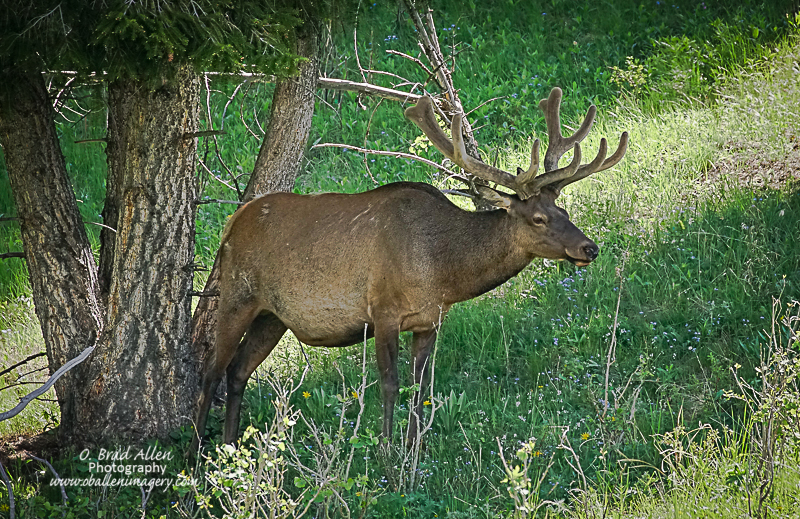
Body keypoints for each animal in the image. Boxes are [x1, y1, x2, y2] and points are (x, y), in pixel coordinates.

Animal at [191, 86, 628, 450]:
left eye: (564, 211)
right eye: (538, 218)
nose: (589, 248)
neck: (443, 273)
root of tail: (232, 222)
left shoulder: (429, 319)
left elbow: (420, 388)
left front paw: (415, 448)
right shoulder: (382, 309)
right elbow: (390, 383)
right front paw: (387, 452)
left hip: (274, 315)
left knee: (238, 370)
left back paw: (229, 446)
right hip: (237, 294)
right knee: (211, 369)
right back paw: (196, 453)